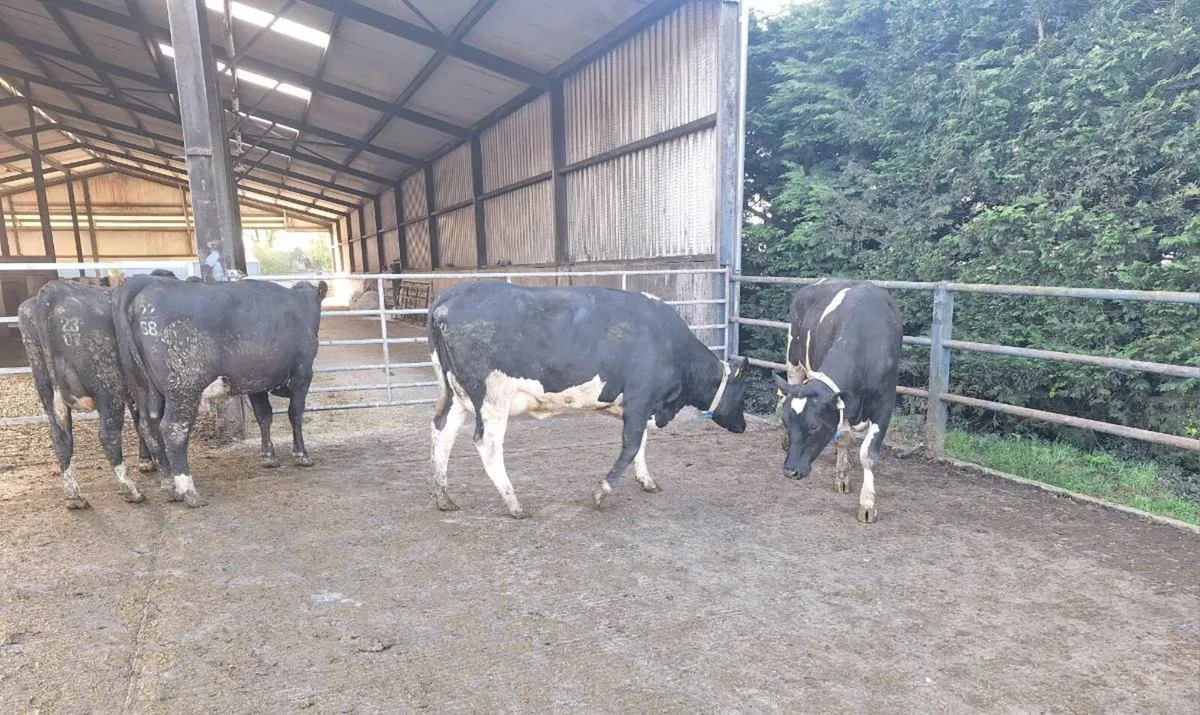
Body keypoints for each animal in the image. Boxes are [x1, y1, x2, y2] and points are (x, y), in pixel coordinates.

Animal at [17, 269, 180, 508]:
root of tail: (52, 291)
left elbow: (141, 424)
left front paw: (146, 461)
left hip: (45, 389)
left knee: (60, 438)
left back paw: (74, 496)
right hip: (108, 387)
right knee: (108, 435)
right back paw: (131, 490)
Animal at [113, 276, 328, 507]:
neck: (301, 304)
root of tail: (144, 285)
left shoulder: (256, 381)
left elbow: (264, 416)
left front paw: (269, 456)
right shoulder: (302, 375)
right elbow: (295, 415)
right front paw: (302, 455)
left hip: (143, 388)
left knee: (148, 428)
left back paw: (170, 487)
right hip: (183, 387)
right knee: (173, 430)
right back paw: (189, 492)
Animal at [427, 281, 750, 519]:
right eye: (742, 394)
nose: (743, 426)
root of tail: (449, 295)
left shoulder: (641, 405)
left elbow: (641, 443)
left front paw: (646, 480)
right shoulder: (640, 397)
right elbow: (631, 446)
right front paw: (601, 491)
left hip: (455, 394)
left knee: (442, 429)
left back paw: (444, 497)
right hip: (492, 396)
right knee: (487, 443)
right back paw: (514, 504)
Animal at [773, 279, 903, 523]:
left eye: (814, 426)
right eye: (786, 421)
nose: (789, 471)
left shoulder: (886, 403)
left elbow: (868, 454)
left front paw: (867, 503)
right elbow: (843, 438)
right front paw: (842, 477)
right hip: (793, 361)